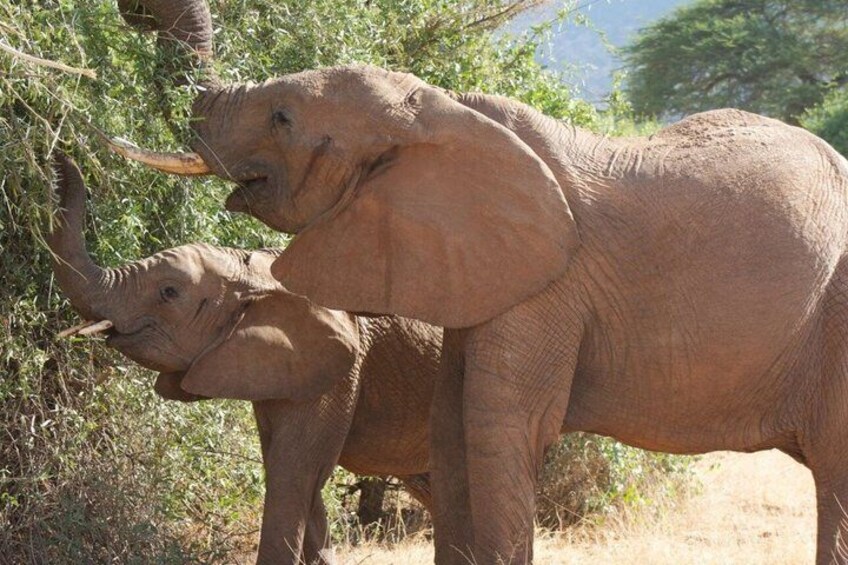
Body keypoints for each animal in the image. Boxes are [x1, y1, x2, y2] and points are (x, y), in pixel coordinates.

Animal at [47, 154, 442, 565]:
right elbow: (295, 480)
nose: (60, 159)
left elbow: (293, 473)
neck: (259, 274)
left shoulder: (340, 370)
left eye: (169, 292)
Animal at [112, 2, 848, 563]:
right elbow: (450, 432)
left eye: (283, 119)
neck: (442, 113)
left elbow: (497, 429)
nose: (134, 13)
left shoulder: (545, 288)